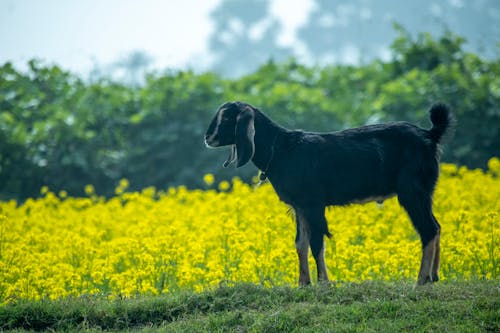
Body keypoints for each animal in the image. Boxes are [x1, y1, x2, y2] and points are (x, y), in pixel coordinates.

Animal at [203, 101, 454, 286]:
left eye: (227, 118)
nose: (207, 138)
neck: (282, 149)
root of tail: (430, 134)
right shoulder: (299, 206)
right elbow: (300, 243)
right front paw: (303, 283)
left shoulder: (313, 203)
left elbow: (317, 243)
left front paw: (324, 283)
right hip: (424, 192)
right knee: (437, 226)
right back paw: (434, 277)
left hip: (412, 191)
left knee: (428, 229)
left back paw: (420, 281)